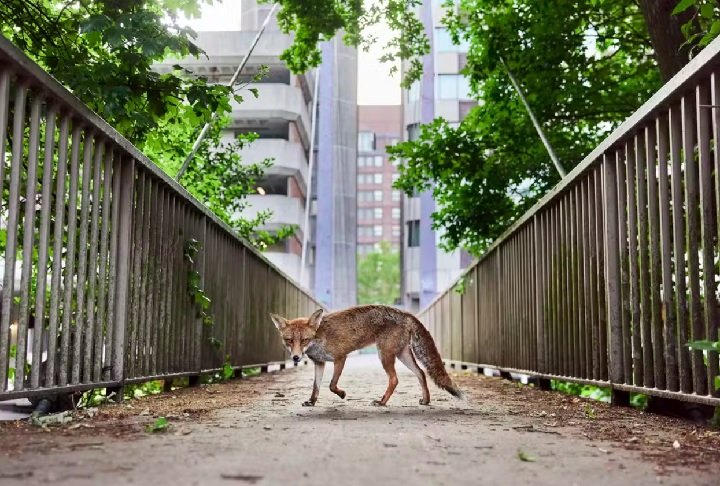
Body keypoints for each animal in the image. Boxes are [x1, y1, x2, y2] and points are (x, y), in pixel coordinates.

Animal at [269, 304, 465, 407]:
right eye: (289, 340)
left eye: (304, 340)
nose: (295, 358)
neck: (319, 338)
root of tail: (405, 313)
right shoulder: (320, 363)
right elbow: (315, 387)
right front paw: (311, 402)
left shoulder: (341, 358)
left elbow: (332, 385)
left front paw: (342, 394)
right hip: (402, 355)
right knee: (422, 373)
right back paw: (425, 400)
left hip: (384, 355)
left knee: (394, 379)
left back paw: (382, 402)